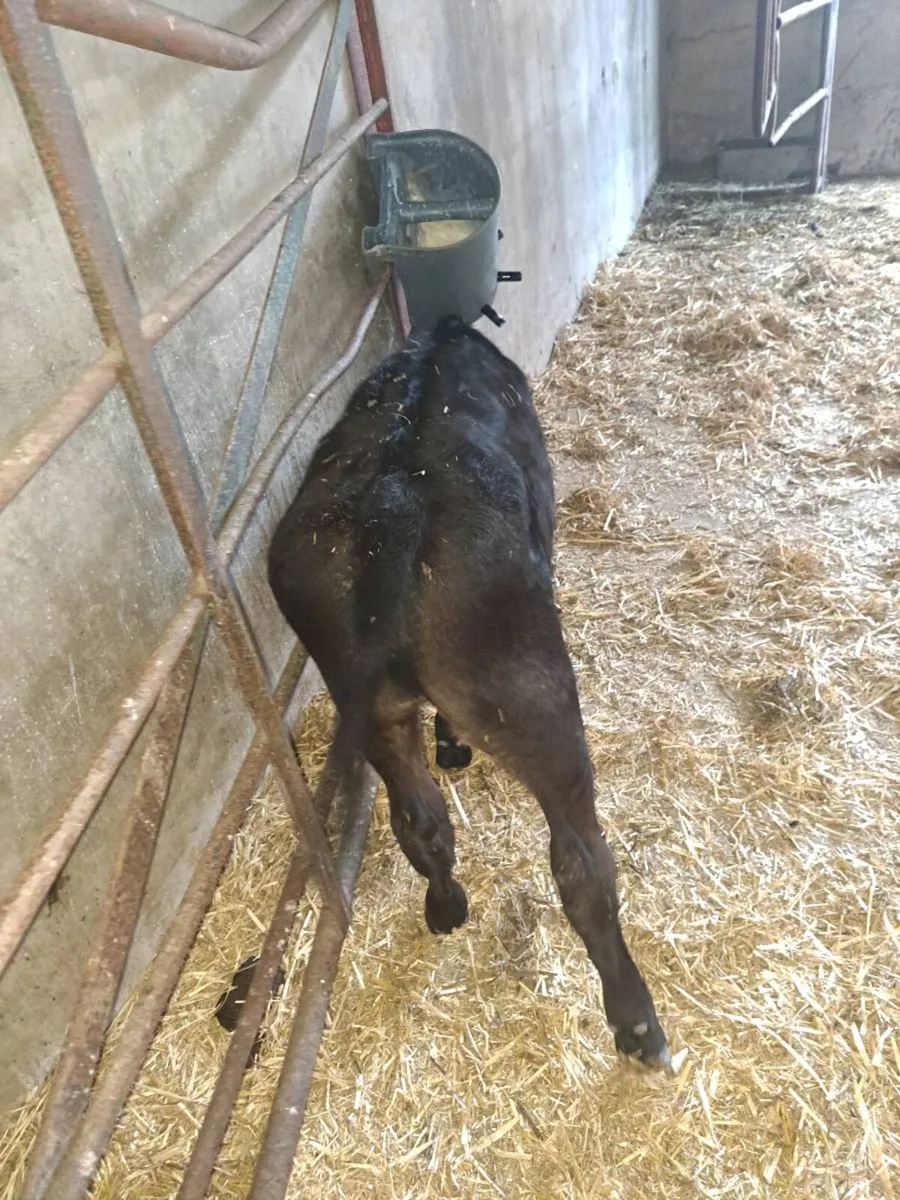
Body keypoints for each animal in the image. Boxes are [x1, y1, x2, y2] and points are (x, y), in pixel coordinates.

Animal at [268, 317, 669, 1067]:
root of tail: (392, 502)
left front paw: (450, 746)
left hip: (368, 702)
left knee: (421, 820)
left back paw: (446, 906)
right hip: (534, 697)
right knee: (579, 863)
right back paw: (636, 1021)